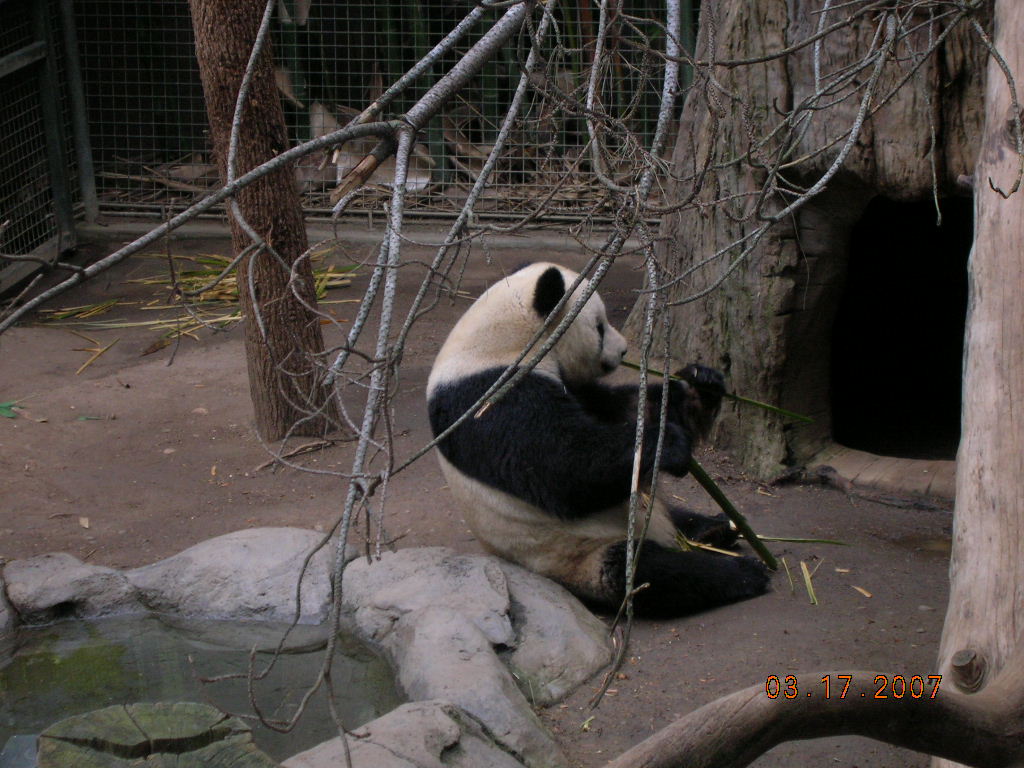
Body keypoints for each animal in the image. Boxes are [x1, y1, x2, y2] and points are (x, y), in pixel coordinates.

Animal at [426, 262, 770, 617]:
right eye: (600, 327)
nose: (624, 350)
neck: (497, 343)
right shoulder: (491, 396)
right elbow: (562, 466)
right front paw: (671, 444)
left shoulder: (575, 389)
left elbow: (625, 410)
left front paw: (700, 387)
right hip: (578, 552)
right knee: (649, 574)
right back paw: (742, 571)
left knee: (673, 514)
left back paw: (716, 527)